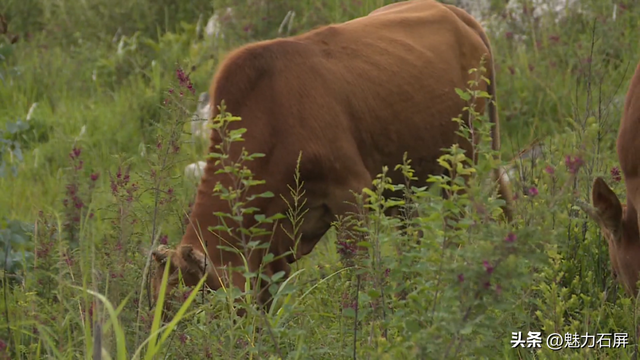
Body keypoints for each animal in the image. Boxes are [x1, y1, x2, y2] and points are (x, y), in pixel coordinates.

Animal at [150, 0, 516, 314]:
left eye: (195, 306)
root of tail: (452, 11)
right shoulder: (270, 242)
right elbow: (268, 296)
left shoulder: (351, 193)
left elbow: (360, 272)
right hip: (401, 181)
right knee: (412, 236)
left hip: (464, 156)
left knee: (456, 225)